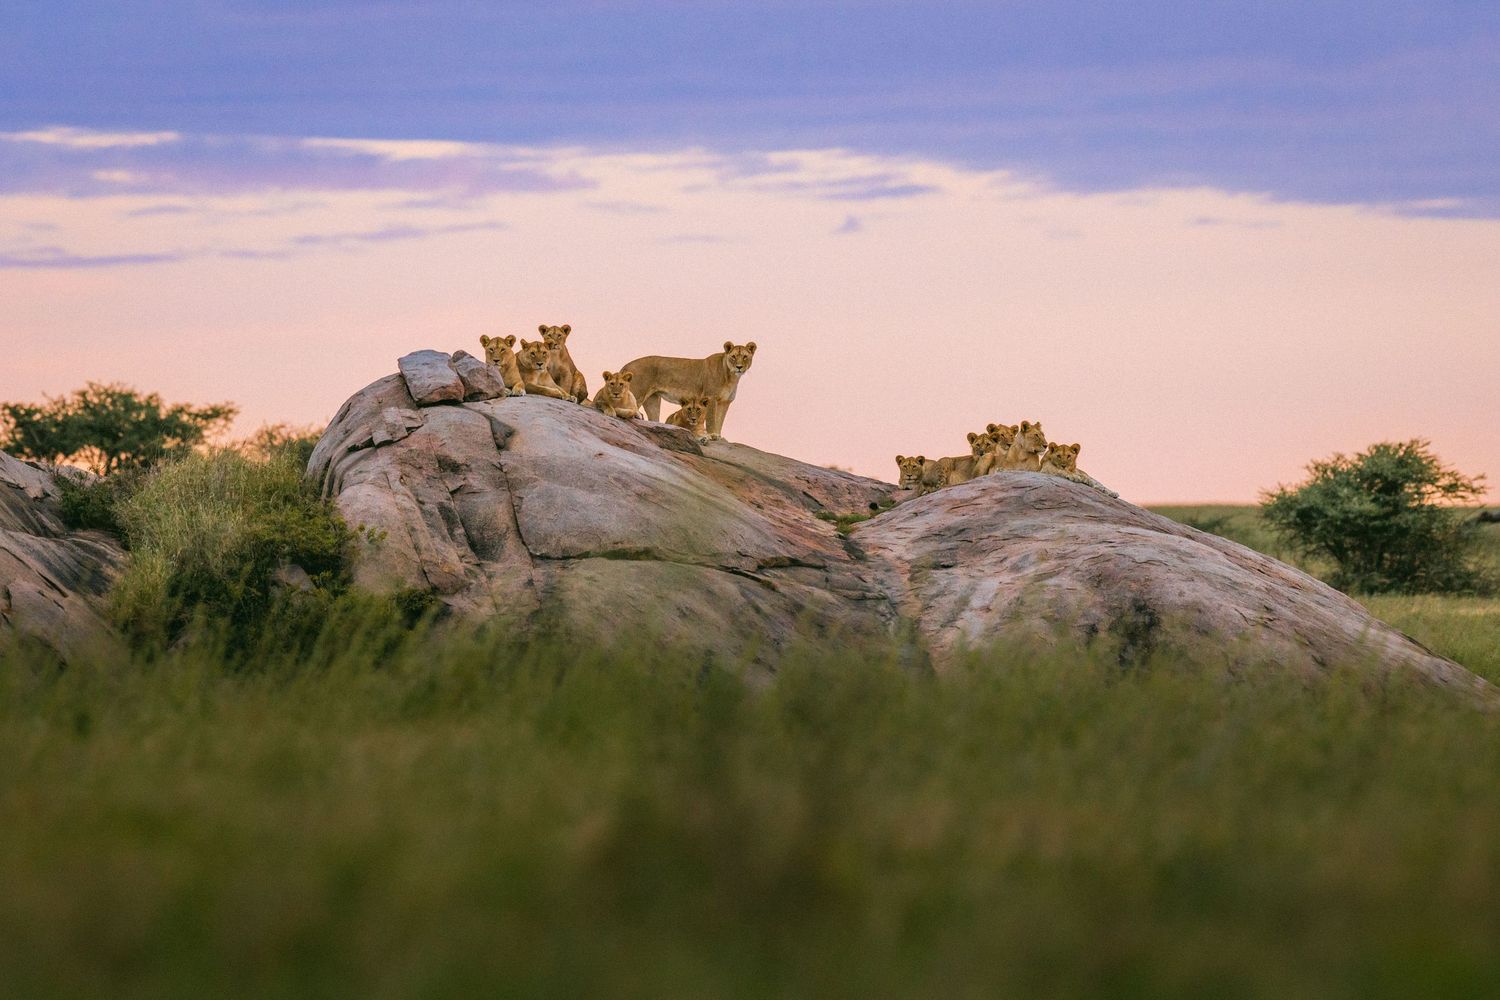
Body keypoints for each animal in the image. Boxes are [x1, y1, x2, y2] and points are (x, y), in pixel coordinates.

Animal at [620, 341, 757, 441]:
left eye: (745, 357)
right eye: (733, 357)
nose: (739, 367)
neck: (731, 377)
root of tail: (627, 365)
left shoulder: (725, 402)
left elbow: (720, 419)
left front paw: (718, 436)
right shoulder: (711, 397)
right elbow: (711, 419)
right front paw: (712, 435)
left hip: (653, 400)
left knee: (653, 419)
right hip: (638, 392)